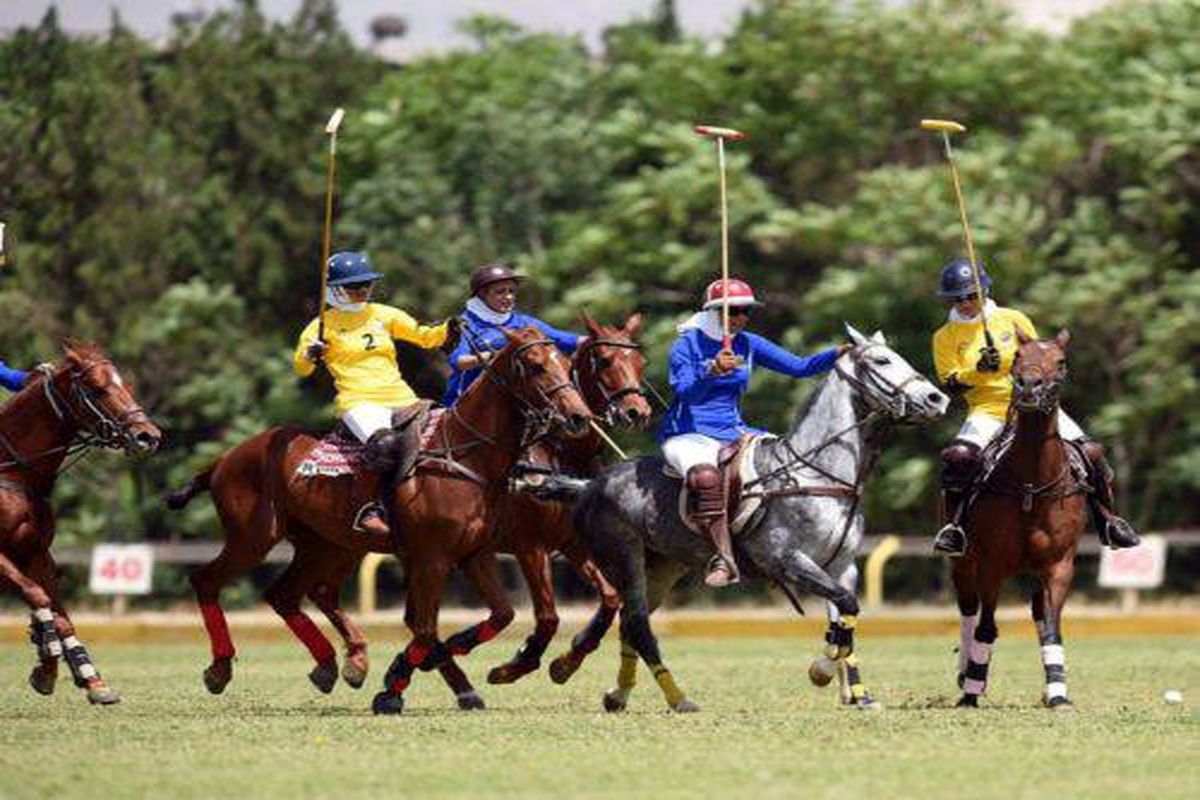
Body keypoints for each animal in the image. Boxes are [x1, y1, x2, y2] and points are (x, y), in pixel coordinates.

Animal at [0, 340, 162, 705]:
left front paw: (90, 680)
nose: (149, 436)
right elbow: (38, 597)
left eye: (124, 383)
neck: (14, 473)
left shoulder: (36, 552)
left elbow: (58, 614)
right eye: (97, 389)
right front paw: (47, 664)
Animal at [168, 326, 590, 714]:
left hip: (324, 543)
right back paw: (220, 668)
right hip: (253, 537)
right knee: (206, 580)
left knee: (286, 594)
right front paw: (395, 684)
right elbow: (425, 628)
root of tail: (224, 459)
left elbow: (501, 615)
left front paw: (433, 663)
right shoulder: (436, 558)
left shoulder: (476, 555)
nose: (579, 417)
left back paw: (333, 665)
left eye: (566, 363)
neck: (467, 456)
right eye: (535, 365)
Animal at [561, 326, 945, 714]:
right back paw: (678, 698)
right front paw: (821, 670)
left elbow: (845, 619)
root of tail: (591, 484)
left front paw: (860, 694)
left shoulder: (842, 566)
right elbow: (846, 608)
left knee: (629, 622)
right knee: (638, 623)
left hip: (663, 566)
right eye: (882, 361)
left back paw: (616, 693)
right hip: (623, 556)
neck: (817, 475)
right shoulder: (788, 560)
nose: (937, 399)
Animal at [955, 328, 1089, 710]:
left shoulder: (1059, 565)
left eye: (1060, 361)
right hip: (962, 562)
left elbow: (1053, 628)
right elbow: (986, 627)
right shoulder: (991, 564)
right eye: (1017, 357)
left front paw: (1059, 694)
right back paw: (965, 673)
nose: (1029, 386)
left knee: (1040, 615)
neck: (1032, 483)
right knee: (968, 610)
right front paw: (971, 690)